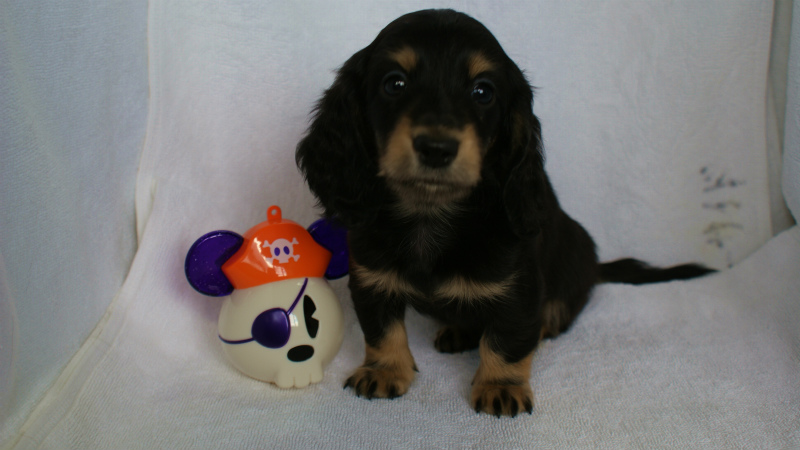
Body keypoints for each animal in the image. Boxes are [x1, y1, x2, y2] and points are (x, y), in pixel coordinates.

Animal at [295, 9, 713, 417]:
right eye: (394, 83)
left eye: (483, 92)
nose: (436, 148)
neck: (430, 215)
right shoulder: (370, 279)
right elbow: (383, 330)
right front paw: (383, 371)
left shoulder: (518, 290)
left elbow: (506, 341)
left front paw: (501, 387)